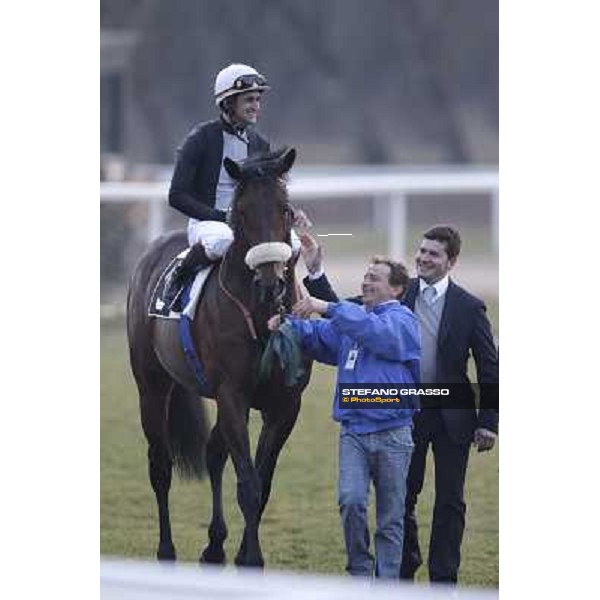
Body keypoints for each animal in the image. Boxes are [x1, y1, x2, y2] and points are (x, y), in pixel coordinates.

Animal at [127, 149, 314, 568]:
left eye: (286, 210)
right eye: (239, 213)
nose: (270, 283)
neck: (260, 316)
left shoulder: (284, 404)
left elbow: (263, 481)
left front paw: (242, 554)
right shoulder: (232, 395)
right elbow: (248, 483)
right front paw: (253, 560)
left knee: (213, 453)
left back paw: (214, 546)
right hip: (151, 386)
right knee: (160, 465)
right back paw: (166, 551)